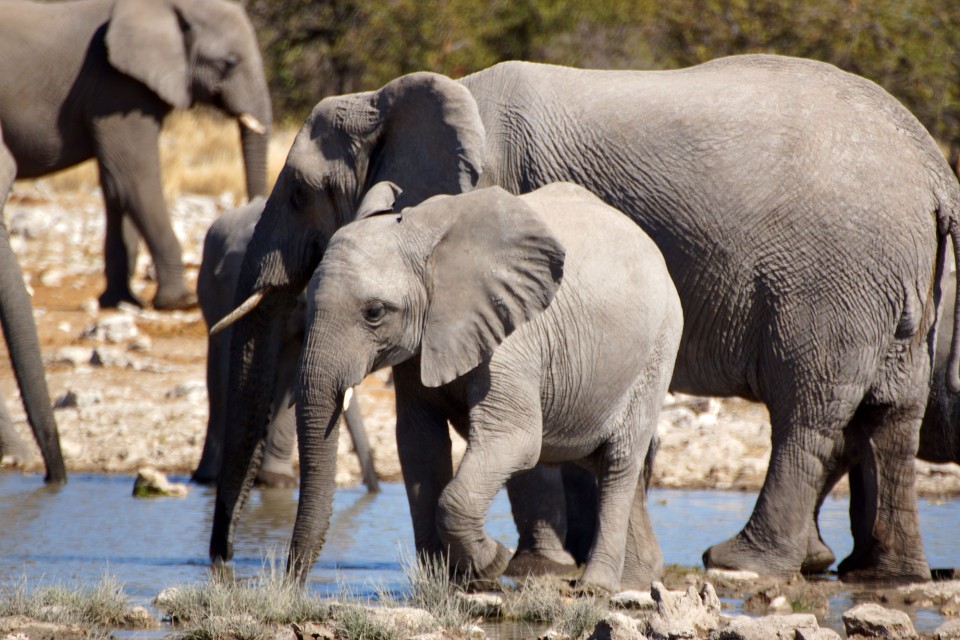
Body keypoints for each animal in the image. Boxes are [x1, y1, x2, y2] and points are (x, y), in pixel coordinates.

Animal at [0, 0, 272, 311]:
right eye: (229, 62)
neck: (168, 7)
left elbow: (115, 186)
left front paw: (121, 301)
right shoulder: (116, 86)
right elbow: (134, 179)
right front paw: (181, 301)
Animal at [194, 198, 379, 492]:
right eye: (306, 302)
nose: (374, 489)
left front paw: (277, 481)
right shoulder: (235, 285)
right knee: (218, 366)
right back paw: (208, 478)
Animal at [290, 183, 683, 591]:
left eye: (374, 313)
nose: (293, 581)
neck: (422, 236)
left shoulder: (512, 336)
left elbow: (515, 440)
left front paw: (493, 562)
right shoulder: (420, 348)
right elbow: (419, 445)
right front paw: (445, 583)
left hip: (658, 347)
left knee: (620, 461)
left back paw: (596, 587)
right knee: (605, 463)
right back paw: (637, 583)